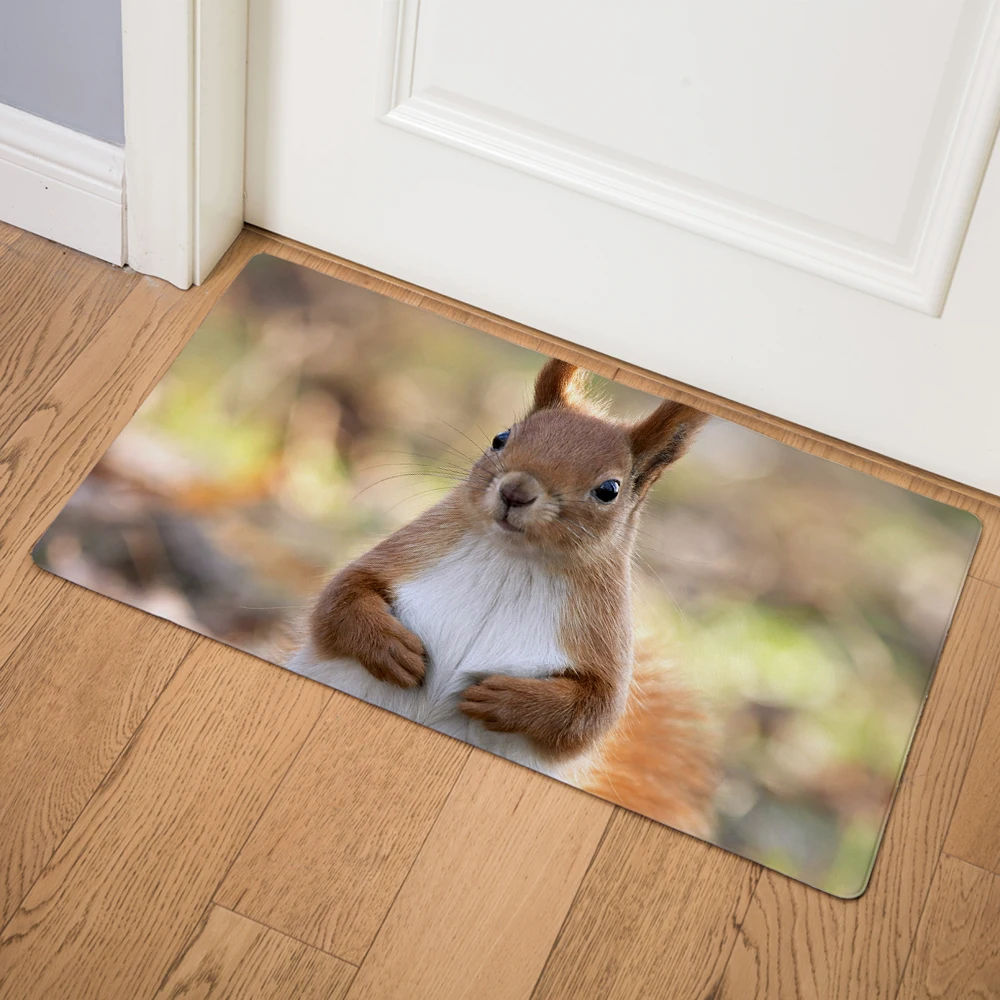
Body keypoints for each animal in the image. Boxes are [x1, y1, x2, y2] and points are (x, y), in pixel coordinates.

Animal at [287, 358, 719, 836]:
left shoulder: (601, 641)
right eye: (501, 437)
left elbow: (592, 712)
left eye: (609, 489)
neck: (515, 561)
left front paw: (503, 699)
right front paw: (393, 649)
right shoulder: (405, 556)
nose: (516, 491)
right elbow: (338, 601)